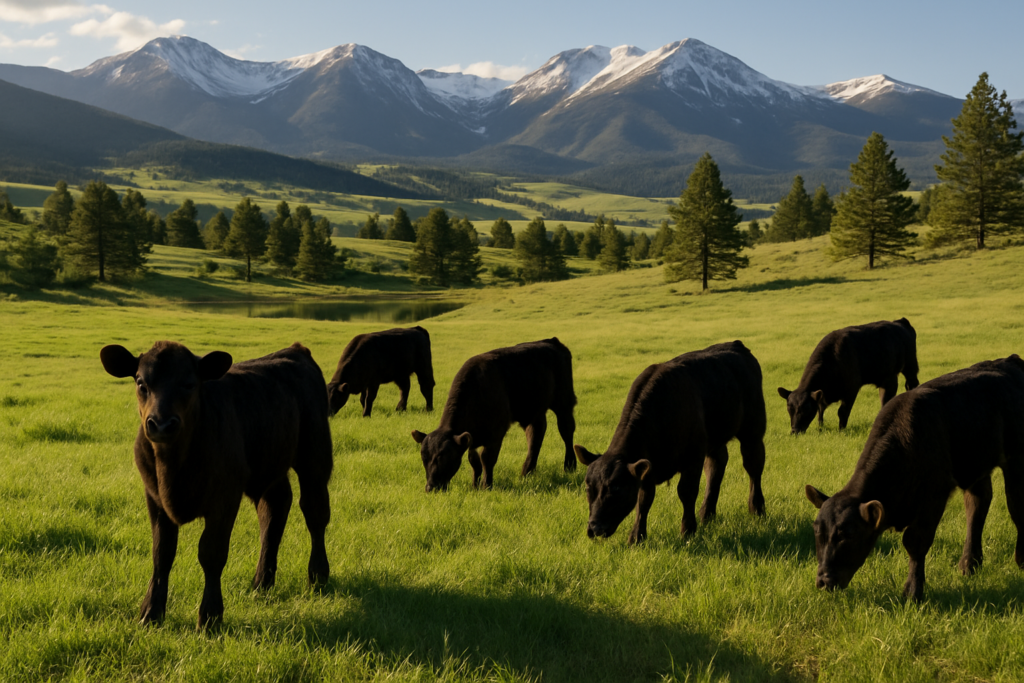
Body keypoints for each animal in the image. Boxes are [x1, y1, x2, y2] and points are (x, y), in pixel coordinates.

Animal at [99, 341, 334, 629]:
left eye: (189, 384)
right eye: (141, 383)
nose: (162, 425)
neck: (173, 469)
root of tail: (295, 349)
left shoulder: (224, 499)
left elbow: (211, 553)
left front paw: (210, 617)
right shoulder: (154, 498)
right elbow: (161, 553)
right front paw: (150, 613)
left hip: (316, 456)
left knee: (315, 512)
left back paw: (318, 575)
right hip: (269, 464)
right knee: (274, 509)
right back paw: (261, 583)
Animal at [411, 338, 577, 492]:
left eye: (444, 457)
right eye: (424, 458)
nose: (430, 487)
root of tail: (552, 341)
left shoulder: (496, 433)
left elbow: (487, 459)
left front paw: (487, 485)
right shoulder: (472, 437)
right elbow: (474, 461)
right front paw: (474, 485)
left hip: (564, 402)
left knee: (566, 431)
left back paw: (570, 465)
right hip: (534, 411)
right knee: (536, 435)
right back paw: (527, 472)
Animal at [574, 341, 767, 545]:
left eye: (617, 488)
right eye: (588, 487)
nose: (595, 528)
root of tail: (736, 345)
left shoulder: (693, 457)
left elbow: (686, 492)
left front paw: (687, 531)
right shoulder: (647, 466)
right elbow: (644, 500)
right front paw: (636, 537)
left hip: (753, 431)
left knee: (754, 467)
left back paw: (757, 509)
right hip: (715, 437)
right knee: (717, 465)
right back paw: (706, 514)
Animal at [778, 318, 920, 433]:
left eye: (806, 409)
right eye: (789, 409)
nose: (794, 431)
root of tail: (900, 321)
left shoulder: (851, 389)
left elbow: (842, 412)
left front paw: (841, 431)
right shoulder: (823, 394)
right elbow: (820, 409)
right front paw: (820, 427)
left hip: (909, 367)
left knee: (909, 386)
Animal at [805, 355, 1024, 601]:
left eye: (847, 535)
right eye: (817, 531)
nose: (824, 581)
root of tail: (1009, 361)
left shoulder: (934, 496)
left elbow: (915, 541)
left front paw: (913, 591)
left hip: (1016, 458)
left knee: (1015, 504)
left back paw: (1020, 559)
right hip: (975, 464)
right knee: (978, 503)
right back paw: (969, 564)